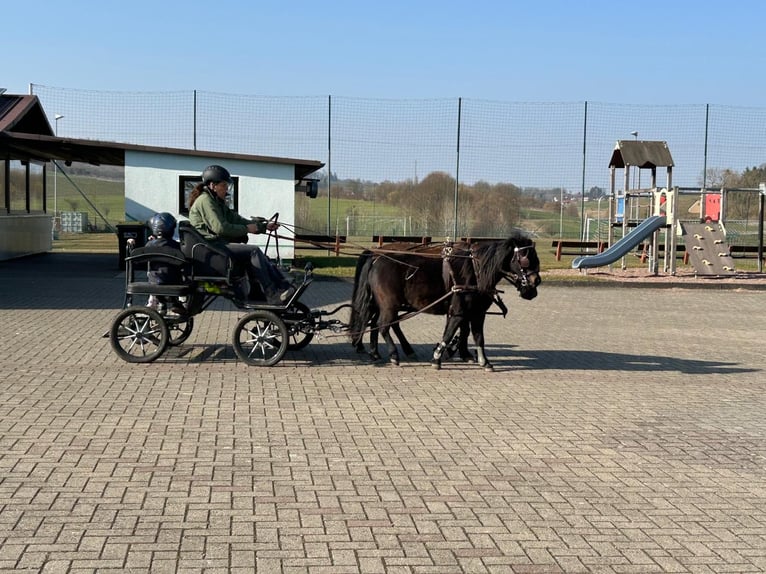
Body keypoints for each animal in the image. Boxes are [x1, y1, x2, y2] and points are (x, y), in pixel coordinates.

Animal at [352, 235, 544, 374]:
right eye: (525, 259)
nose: (535, 283)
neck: (475, 271)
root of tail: (376, 258)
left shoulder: (477, 313)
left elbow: (477, 336)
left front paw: (483, 361)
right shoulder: (459, 311)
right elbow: (450, 332)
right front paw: (437, 357)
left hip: (384, 305)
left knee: (380, 323)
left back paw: (377, 352)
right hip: (389, 305)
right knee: (383, 325)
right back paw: (393, 354)